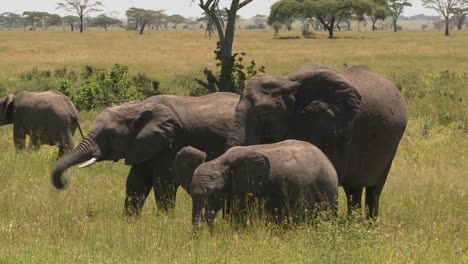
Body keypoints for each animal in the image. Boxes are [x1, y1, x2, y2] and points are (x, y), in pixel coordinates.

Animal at [52, 92, 239, 216]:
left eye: (111, 135)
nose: (63, 183)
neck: (137, 107)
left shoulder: (171, 142)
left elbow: (163, 182)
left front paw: (165, 219)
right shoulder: (141, 144)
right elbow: (136, 181)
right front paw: (129, 221)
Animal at [226, 64, 406, 219]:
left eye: (264, 115)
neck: (286, 83)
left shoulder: (329, 129)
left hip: (392, 145)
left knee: (374, 190)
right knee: (353, 190)